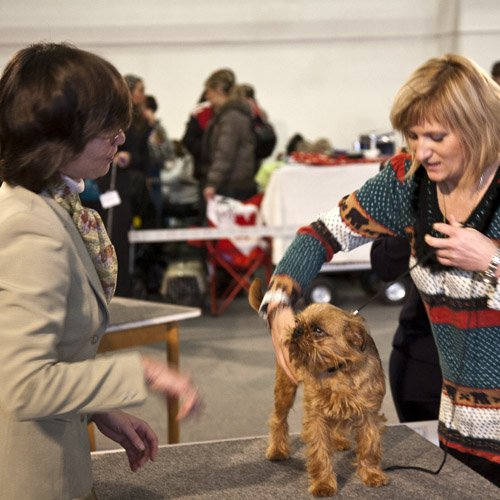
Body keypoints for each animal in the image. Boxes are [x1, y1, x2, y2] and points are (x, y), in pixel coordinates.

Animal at [248, 278, 388, 496]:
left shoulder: (369, 415)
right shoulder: (316, 416)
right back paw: (278, 449)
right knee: (279, 419)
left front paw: (371, 474)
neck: (336, 369)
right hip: (285, 387)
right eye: (298, 323)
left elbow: (370, 446)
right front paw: (324, 483)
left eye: (318, 331)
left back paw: (337, 440)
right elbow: (320, 452)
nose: (297, 330)